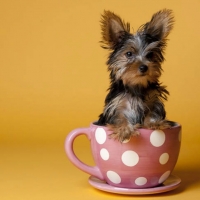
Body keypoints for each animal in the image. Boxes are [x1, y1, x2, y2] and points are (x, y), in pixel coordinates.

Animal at [96, 8, 174, 141]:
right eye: (129, 54)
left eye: (150, 55)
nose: (144, 67)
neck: (136, 86)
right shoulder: (115, 106)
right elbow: (119, 117)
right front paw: (124, 130)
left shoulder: (153, 101)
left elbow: (152, 112)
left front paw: (155, 122)